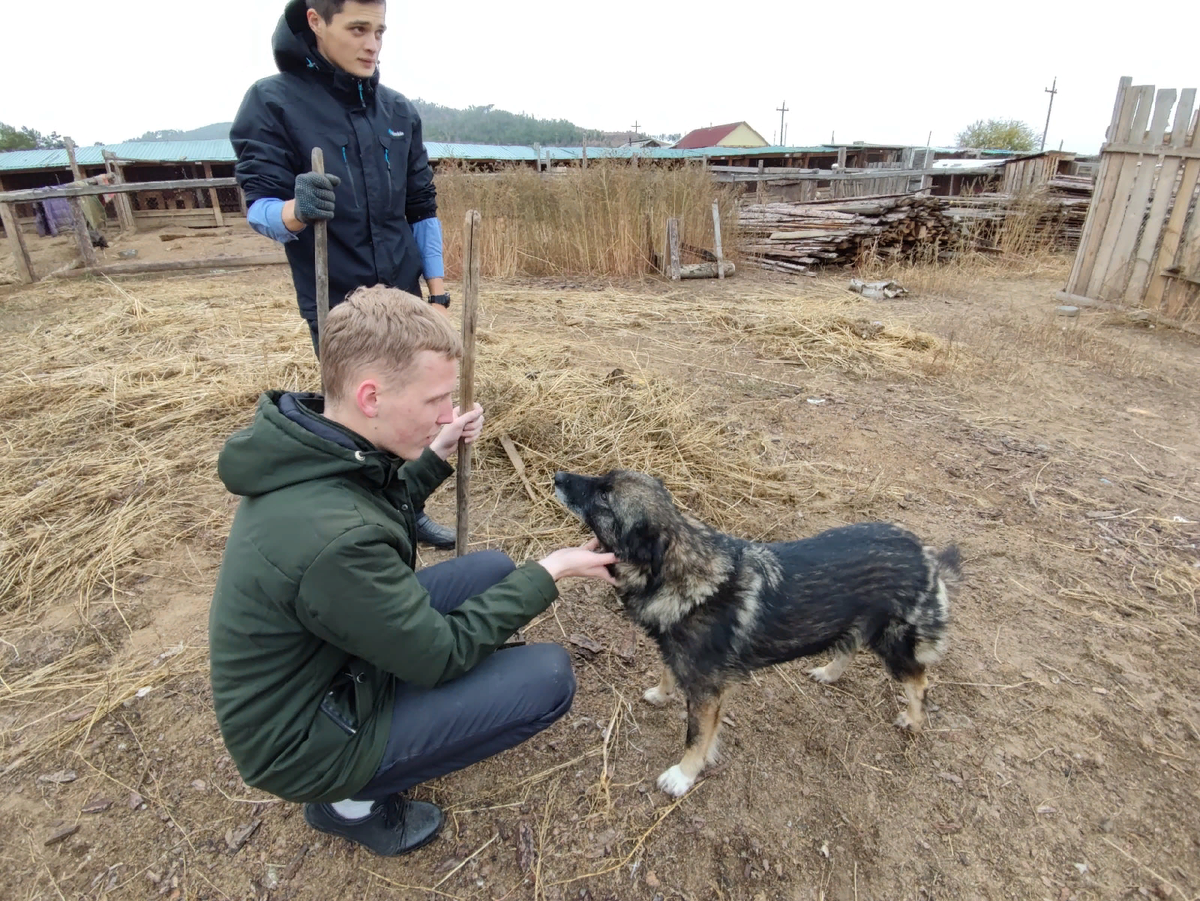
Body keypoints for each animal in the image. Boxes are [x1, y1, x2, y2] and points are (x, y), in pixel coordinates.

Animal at [554, 472, 964, 796]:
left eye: (604, 496)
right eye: (601, 478)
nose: (558, 476)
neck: (681, 576)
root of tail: (925, 554)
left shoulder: (707, 693)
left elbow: (696, 738)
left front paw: (683, 776)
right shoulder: (683, 660)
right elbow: (668, 671)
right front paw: (661, 693)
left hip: (894, 642)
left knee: (919, 681)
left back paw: (913, 720)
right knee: (849, 644)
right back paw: (829, 673)